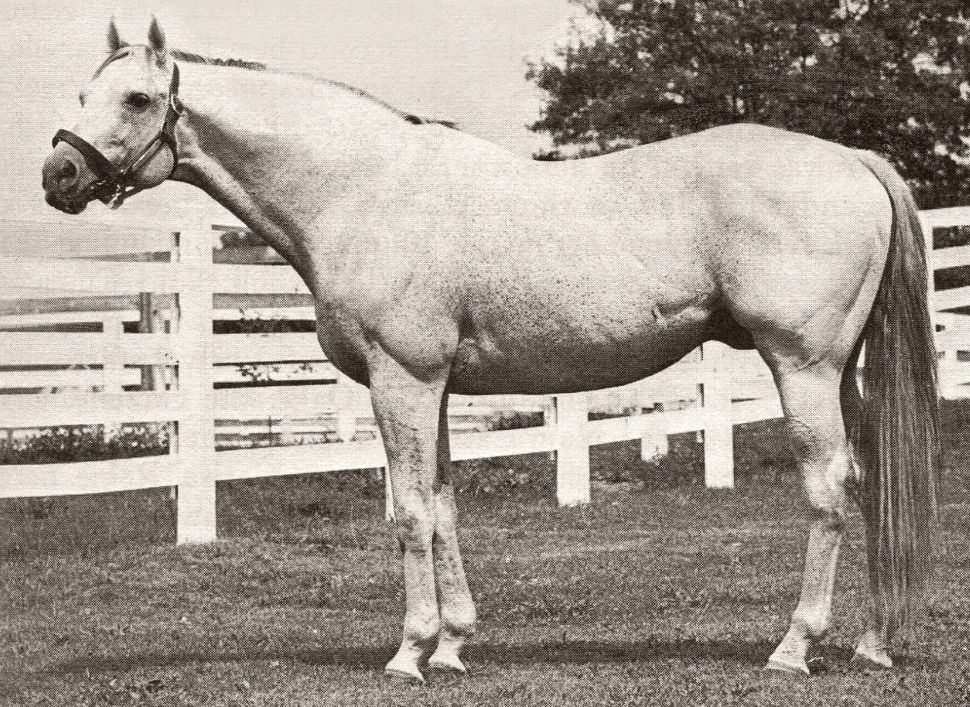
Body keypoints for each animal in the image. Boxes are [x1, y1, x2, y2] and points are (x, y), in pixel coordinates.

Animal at [42, 18, 937, 681]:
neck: (361, 189)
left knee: (828, 489)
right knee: (873, 478)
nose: (57, 176)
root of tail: (851, 159)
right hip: (842, 371)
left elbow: (408, 513)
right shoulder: (431, 385)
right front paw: (453, 645)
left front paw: (408, 654)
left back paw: (795, 646)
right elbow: (442, 508)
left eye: (136, 97)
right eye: (82, 91)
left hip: (803, 366)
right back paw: (873, 642)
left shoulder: (400, 380)